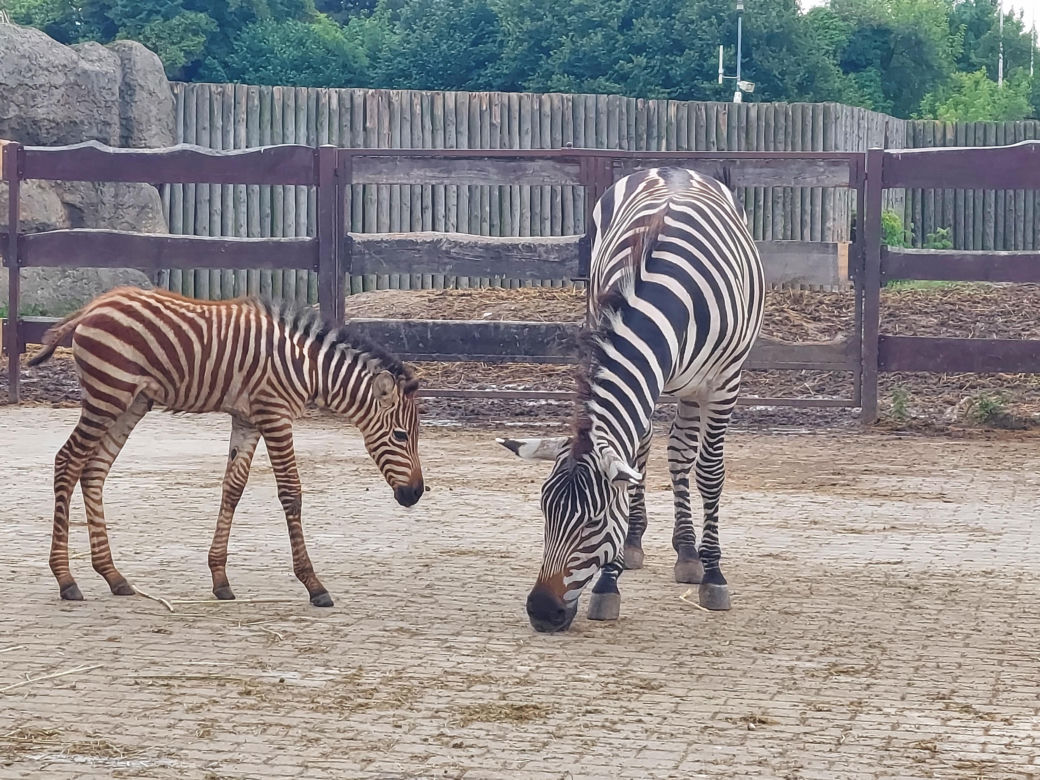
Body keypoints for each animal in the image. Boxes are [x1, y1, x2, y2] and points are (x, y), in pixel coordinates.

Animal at [28, 287, 425, 607]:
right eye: (400, 436)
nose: (416, 494)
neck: (307, 368)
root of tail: (93, 305)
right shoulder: (276, 416)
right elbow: (291, 493)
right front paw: (314, 585)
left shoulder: (247, 419)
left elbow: (233, 487)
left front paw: (220, 579)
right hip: (107, 395)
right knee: (67, 461)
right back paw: (66, 579)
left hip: (131, 402)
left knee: (94, 469)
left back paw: (112, 575)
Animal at [499, 167, 764, 633]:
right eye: (545, 511)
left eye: (594, 520)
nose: (541, 612)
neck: (668, 297)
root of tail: (674, 168)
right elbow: (634, 469)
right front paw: (611, 580)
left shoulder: (723, 383)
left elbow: (710, 472)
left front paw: (714, 576)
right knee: (654, 455)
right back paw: (652, 547)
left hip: (694, 386)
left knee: (681, 455)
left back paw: (691, 555)